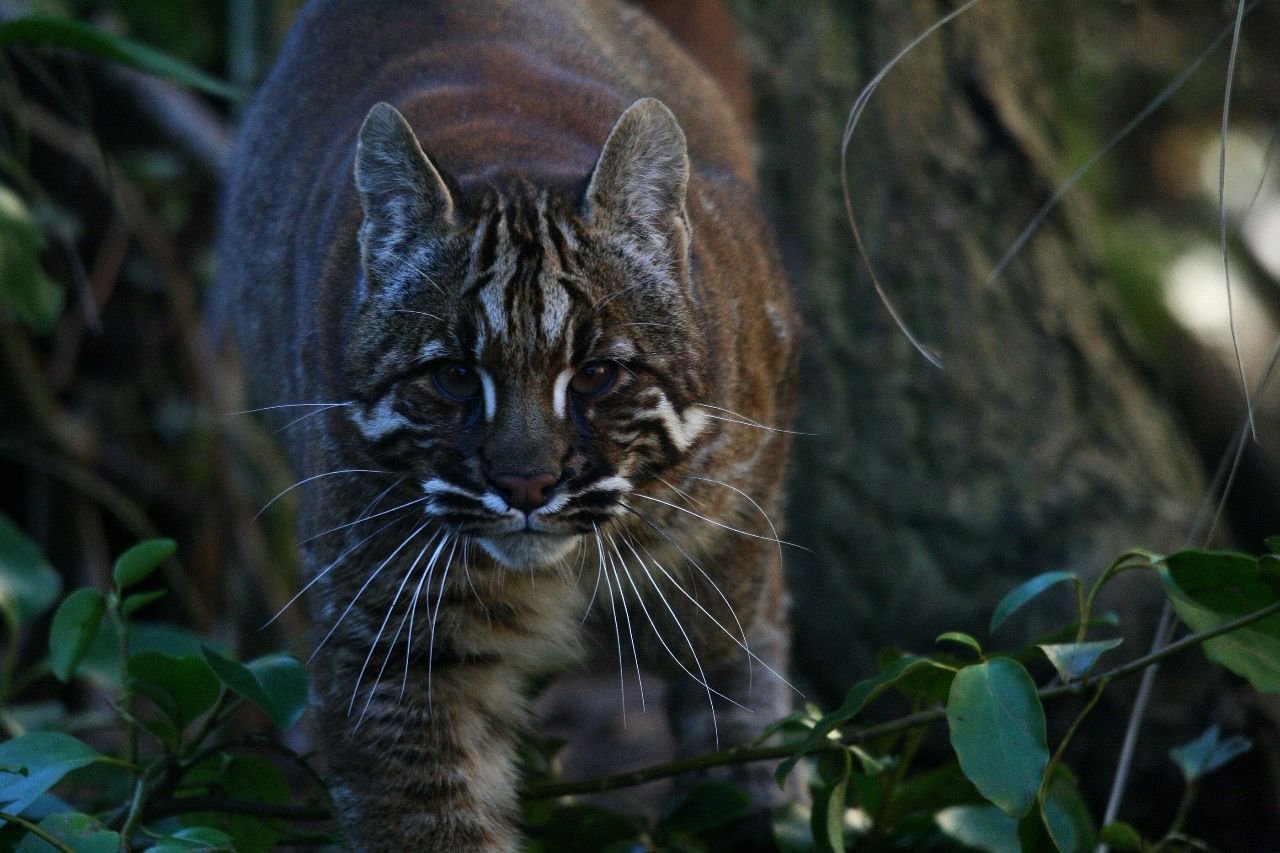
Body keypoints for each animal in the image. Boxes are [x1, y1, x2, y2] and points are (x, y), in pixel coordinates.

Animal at [220, 0, 798, 845]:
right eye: (456, 376)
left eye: (596, 375)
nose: (526, 486)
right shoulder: (393, 647)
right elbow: (432, 817)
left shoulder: (733, 553)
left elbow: (743, 728)